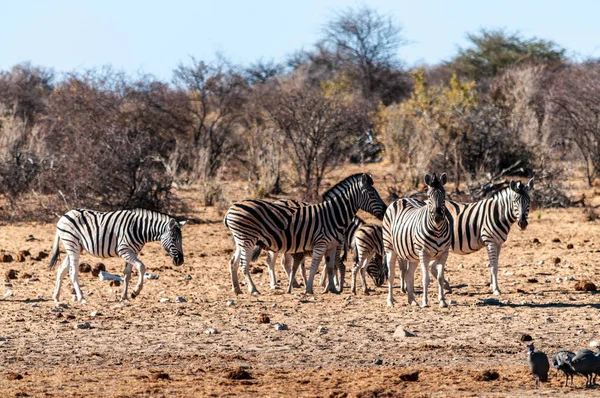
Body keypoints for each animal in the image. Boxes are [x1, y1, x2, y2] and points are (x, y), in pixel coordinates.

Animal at [48, 207, 185, 304]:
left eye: (181, 239)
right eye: (173, 239)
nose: (180, 261)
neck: (139, 229)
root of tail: (64, 215)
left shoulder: (133, 251)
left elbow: (127, 274)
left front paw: (124, 297)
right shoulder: (124, 250)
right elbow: (141, 267)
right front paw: (136, 291)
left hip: (74, 247)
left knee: (61, 270)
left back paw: (56, 297)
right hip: (72, 245)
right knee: (72, 272)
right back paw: (81, 298)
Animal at [223, 174, 386, 296]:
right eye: (372, 194)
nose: (385, 210)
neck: (335, 215)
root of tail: (230, 209)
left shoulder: (332, 246)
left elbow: (330, 266)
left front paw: (332, 288)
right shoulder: (322, 244)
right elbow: (316, 266)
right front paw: (311, 288)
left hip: (241, 240)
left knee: (233, 262)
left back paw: (237, 289)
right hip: (248, 240)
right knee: (245, 264)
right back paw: (254, 289)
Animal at [384, 172, 450, 308]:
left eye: (444, 196)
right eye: (429, 197)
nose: (438, 218)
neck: (437, 230)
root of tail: (402, 198)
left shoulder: (444, 253)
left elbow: (440, 277)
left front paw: (442, 301)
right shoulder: (424, 253)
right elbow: (426, 278)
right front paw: (425, 302)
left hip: (413, 255)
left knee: (409, 274)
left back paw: (412, 301)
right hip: (390, 248)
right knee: (391, 275)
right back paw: (390, 301)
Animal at [398, 179, 536, 294]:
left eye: (529, 201)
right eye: (515, 201)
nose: (522, 223)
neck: (498, 213)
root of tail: (423, 201)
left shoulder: (498, 243)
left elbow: (495, 264)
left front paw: (492, 285)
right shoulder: (490, 241)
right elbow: (494, 266)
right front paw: (496, 289)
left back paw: (444, 286)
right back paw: (405, 287)